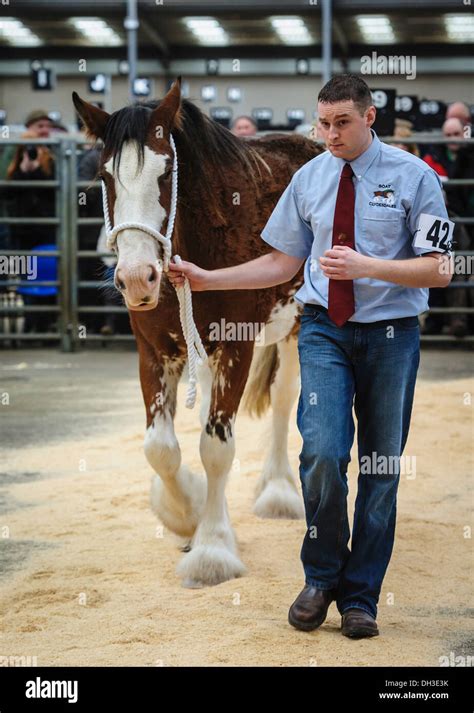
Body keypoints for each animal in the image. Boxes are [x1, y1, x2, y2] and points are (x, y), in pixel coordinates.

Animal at [72, 80, 322, 588]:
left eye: (167, 173)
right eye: (105, 177)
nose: (136, 278)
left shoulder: (237, 346)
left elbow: (217, 447)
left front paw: (211, 550)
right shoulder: (154, 352)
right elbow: (161, 449)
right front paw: (185, 511)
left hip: (292, 328)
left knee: (284, 399)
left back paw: (278, 490)